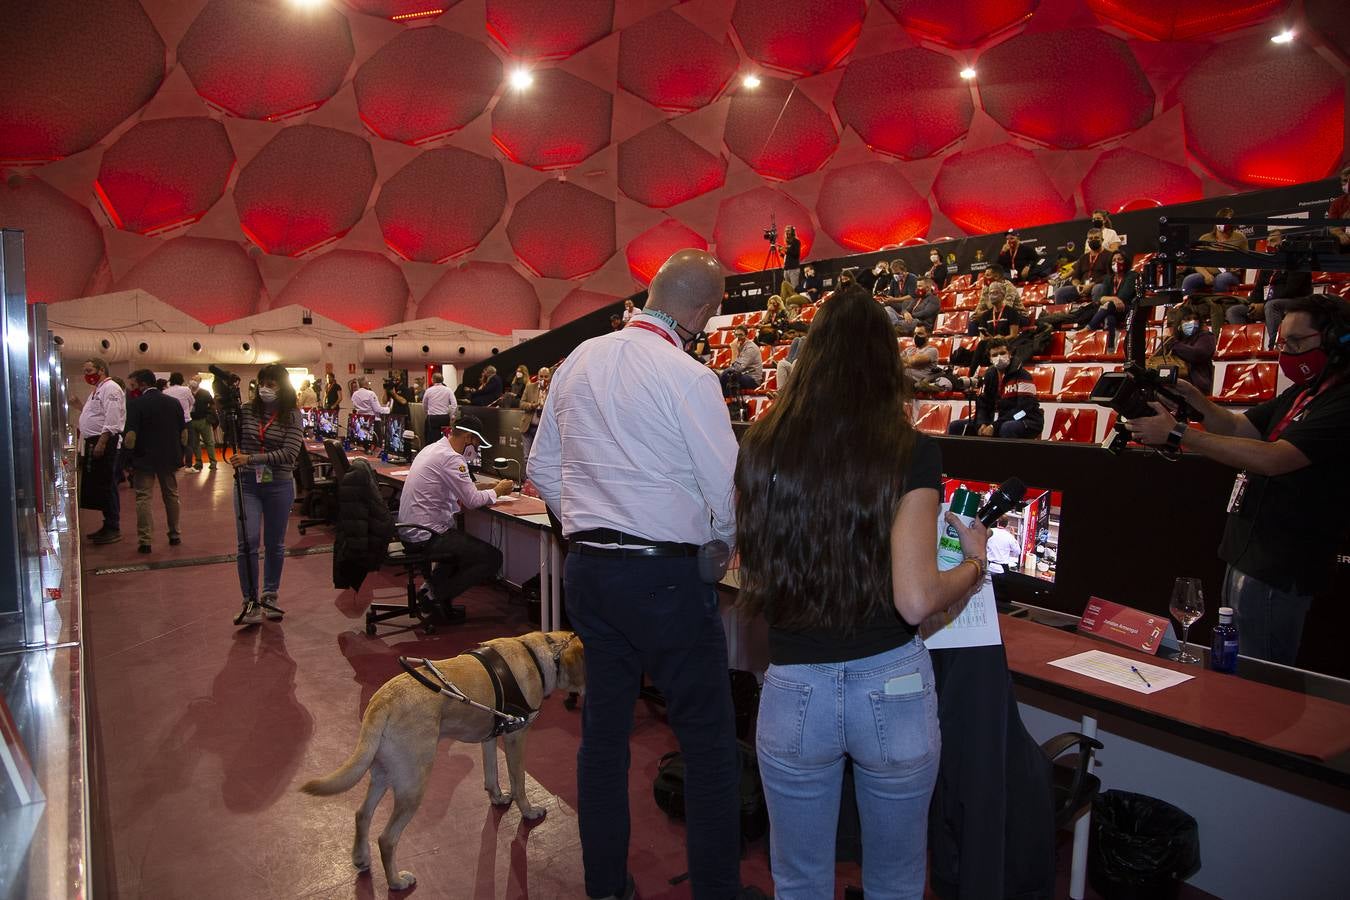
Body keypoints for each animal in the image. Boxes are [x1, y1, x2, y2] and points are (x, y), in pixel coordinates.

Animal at [303, 634, 583, 895]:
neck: (542, 653)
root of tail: (382, 702)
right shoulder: (516, 738)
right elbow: (519, 782)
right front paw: (528, 811)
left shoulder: (490, 738)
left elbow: (491, 773)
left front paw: (497, 797)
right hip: (413, 785)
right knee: (386, 839)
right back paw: (396, 882)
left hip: (382, 773)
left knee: (362, 815)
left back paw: (361, 858)